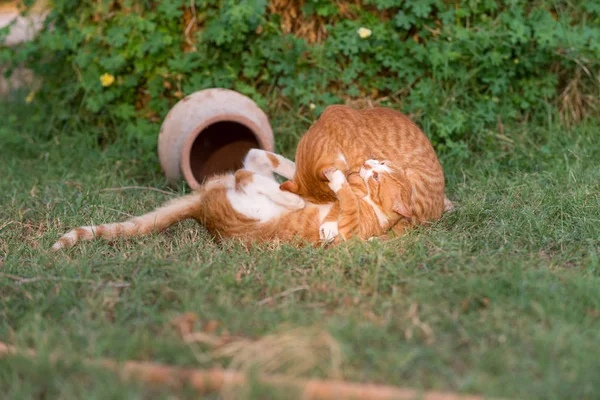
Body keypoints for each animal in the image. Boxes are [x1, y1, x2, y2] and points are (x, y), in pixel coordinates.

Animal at [282, 104, 450, 234]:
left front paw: (330, 224)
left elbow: (347, 197)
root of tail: (441, 208)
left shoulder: (357, 177)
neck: (330, 131)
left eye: (334, 199)